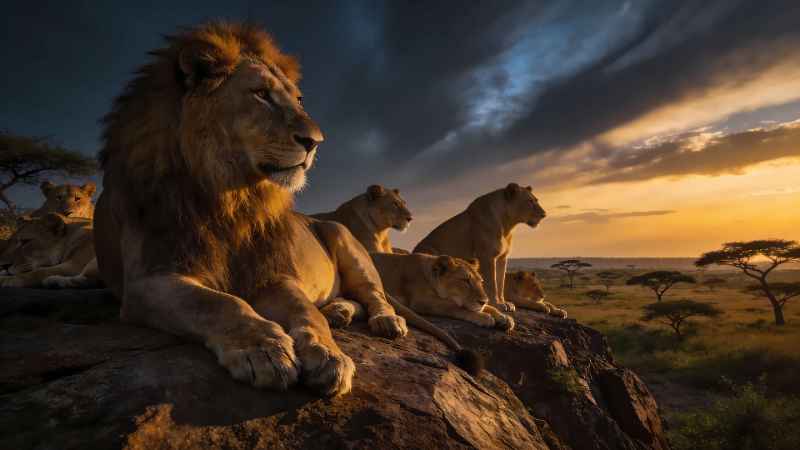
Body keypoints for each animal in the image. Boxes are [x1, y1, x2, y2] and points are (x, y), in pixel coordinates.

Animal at [92, 22, 417, 397]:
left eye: (298, 99)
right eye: (261, 94)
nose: (316, 142)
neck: (230, 197)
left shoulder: (269, 271)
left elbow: (307, 312)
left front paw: (328, 353)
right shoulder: (148, 280)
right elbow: (218, 303)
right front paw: (263, 350)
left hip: (344, 240)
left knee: (373, 295)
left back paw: (382, 319)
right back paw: (338, 312)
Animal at [413, 183, 547, 313]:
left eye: (536, 200)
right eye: (529, 201)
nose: (544, 214)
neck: (507, 225)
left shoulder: (502, 258)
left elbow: (501, 282)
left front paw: (504, 302)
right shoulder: (487, 255)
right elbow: (492, 283)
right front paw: (496, 304)